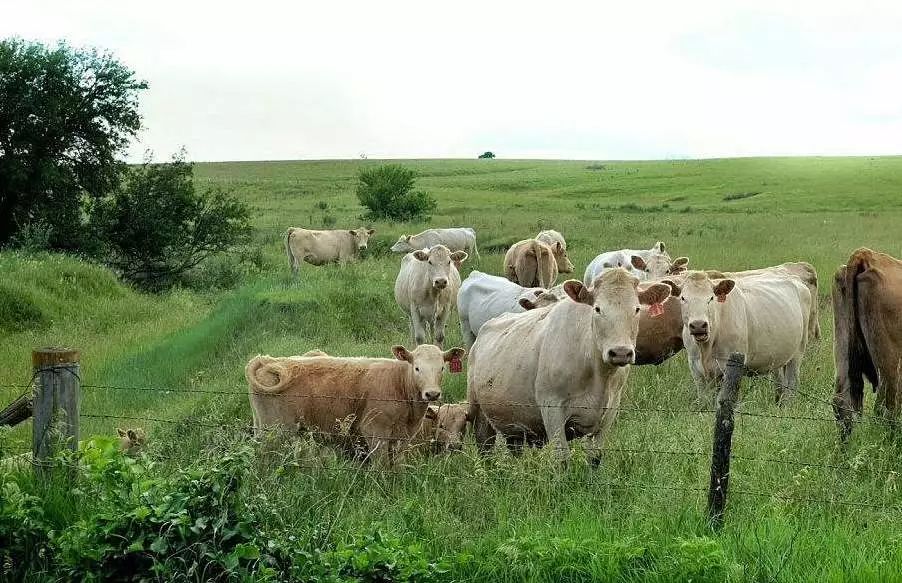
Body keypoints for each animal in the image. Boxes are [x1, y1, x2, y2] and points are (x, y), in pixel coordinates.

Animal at [466, 266, 672, 464]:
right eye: (597, 309)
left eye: (637, 309)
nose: (620, 352)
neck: (598, 375)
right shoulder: (552, 409)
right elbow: (562, 459)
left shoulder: (610, 412)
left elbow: (594, 459)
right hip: (479, 415)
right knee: (485, 449)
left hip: (514, 422)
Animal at [668, 272, 816, 404]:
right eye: (683, 298)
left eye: (711, 298)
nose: (698, 325)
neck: (706, 347)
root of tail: (795, 279)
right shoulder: (695, 367)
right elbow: (705, 400)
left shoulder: (731, 366)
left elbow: (723, 399)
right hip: (777, 356)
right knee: (780, 383)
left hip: (798, 352)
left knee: (791, 383)